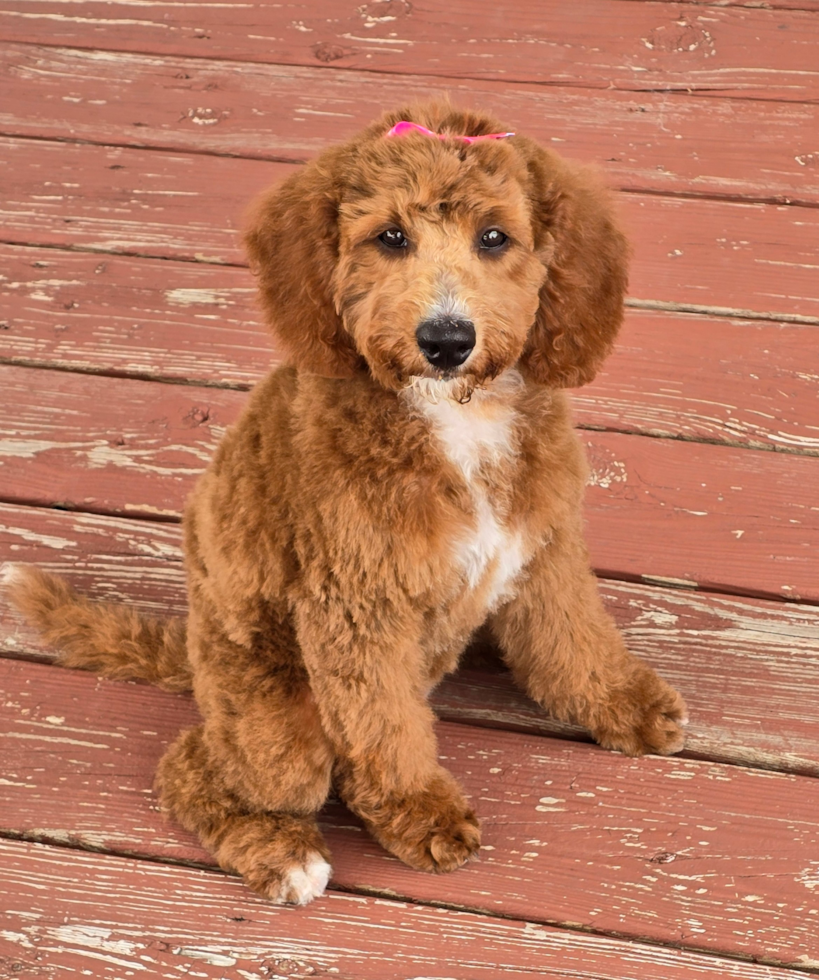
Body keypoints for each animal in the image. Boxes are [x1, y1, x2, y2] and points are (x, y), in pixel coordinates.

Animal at [3, 99, 688, 904]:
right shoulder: (358, 607)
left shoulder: (542, 550)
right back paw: (283, 852)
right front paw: (420, 811)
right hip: (277, 725)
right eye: (389, 236)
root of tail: (195, 654)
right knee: (194, 766)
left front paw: (621, 702)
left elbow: (574, 637)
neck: (453, 418)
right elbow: (384, 726)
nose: (447, 340)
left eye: (494, 237)